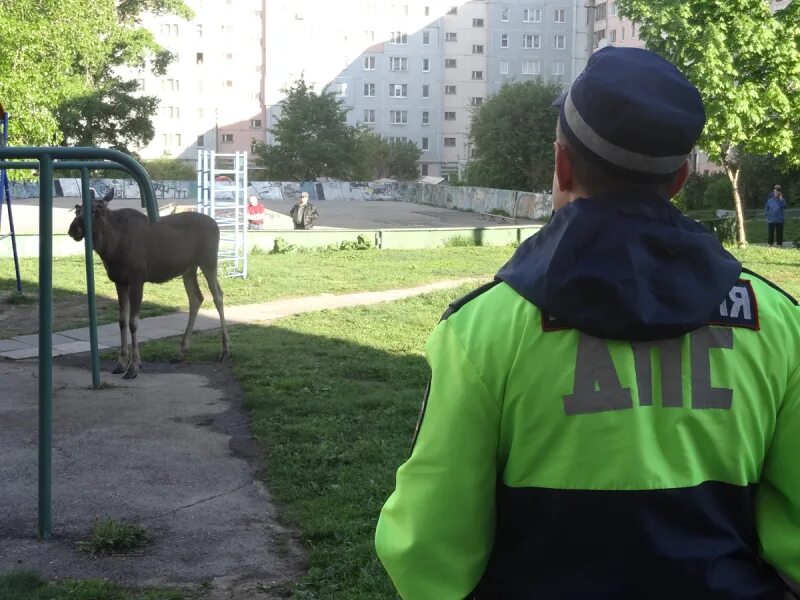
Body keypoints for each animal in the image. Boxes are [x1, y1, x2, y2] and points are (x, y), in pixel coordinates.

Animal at [67, 191, 230, 380]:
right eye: (77, 209)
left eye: (96, 210)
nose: (74, 229)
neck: (110, 249)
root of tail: (217, 225)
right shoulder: (120, 281)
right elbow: (122, 321)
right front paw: (121, 363)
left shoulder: (137, 278)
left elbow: (133, 322)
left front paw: (134, 367)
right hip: (189, 269)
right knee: (196, 298)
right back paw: (181, 351)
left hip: (209, 261)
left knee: (218, 295)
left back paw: (225, 350)